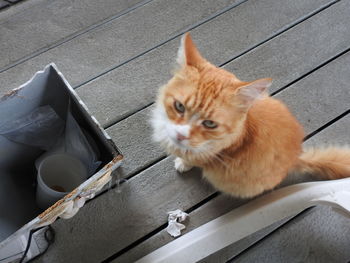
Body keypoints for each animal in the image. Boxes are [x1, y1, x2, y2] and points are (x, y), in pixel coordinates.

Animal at [152, 32, 350, 198]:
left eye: (210, 124)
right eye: (179, 106)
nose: (180, 135)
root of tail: (296, 157)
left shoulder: (206, 159)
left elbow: (190, 159)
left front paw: (183, 162)